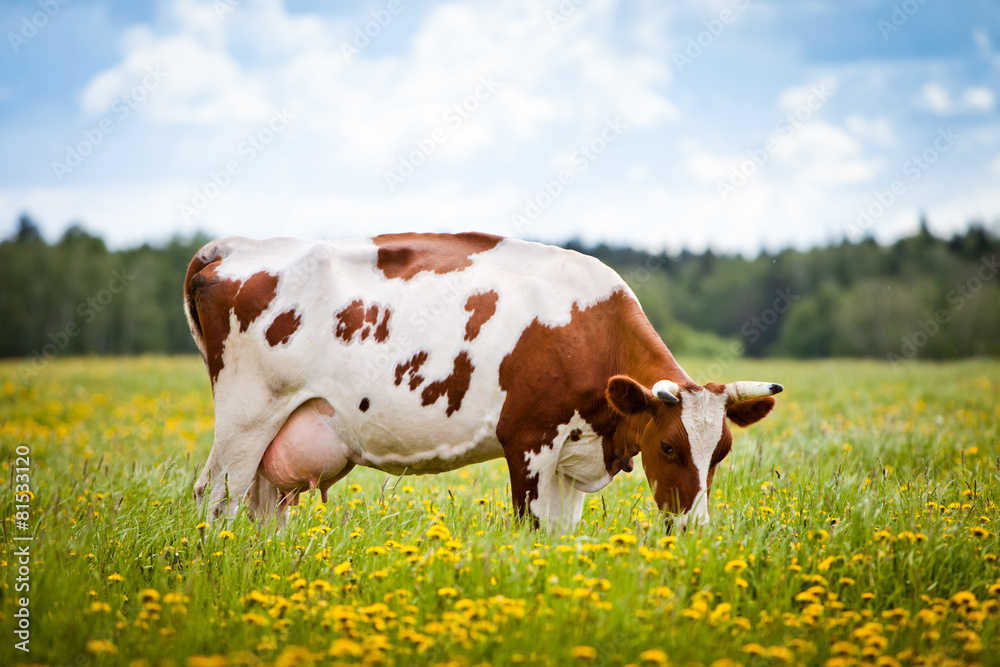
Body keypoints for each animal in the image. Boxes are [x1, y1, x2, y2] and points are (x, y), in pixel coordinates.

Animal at [185, 232, 782, 530]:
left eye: (721, 452)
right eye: (668, 446)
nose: (696, 530)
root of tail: (235, 245)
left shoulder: (573, 455)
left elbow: (562, 536)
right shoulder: (529, 441)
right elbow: (532, 530)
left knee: (265, 508)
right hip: (247, 417)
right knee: (216, 497)